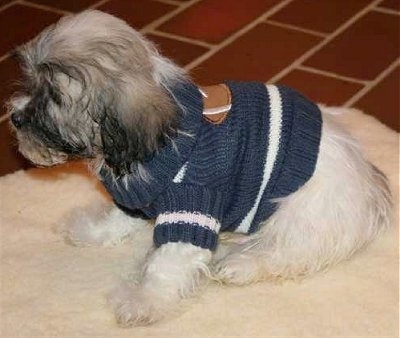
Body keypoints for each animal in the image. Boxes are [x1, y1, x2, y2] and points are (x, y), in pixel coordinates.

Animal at [7, 9, 392, 328]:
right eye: (32, 84)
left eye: (55, 97)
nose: (15, 117)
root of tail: (371, 183)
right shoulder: (140, 196)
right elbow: (119, 217)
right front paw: (92, 230)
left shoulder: (194, 200)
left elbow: (167, 263)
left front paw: (143, 301)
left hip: (302, 213)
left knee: (286, 252)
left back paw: (240, 264)